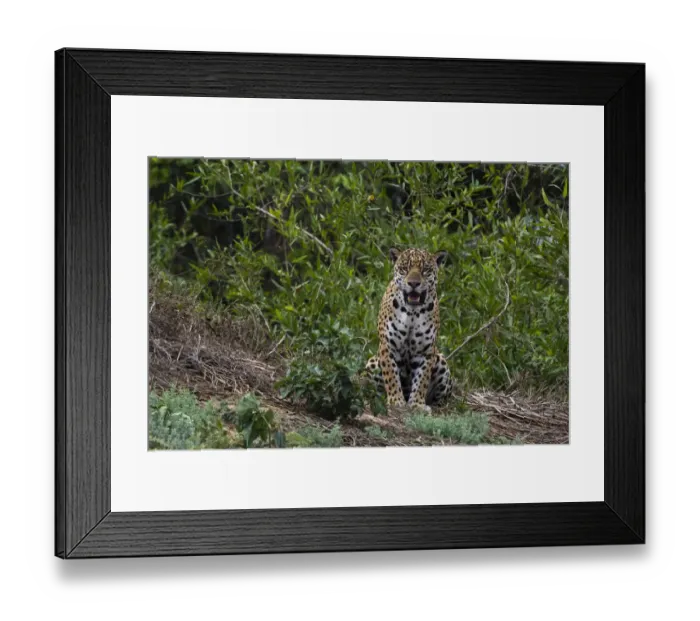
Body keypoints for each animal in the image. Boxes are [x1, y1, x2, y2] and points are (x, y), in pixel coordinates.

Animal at [365, 247, 453, 410]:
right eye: (404, 268)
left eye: (425, 270)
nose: (413, 283)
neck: (413, 312)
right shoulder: (387, 346)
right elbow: (391, 375)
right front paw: (395, 400)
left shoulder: (427, 350)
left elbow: (422, 379)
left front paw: (417, 404)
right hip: (372, 363)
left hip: (441, 361)